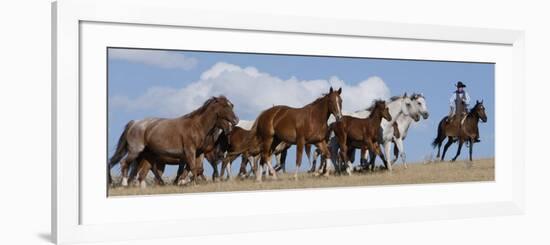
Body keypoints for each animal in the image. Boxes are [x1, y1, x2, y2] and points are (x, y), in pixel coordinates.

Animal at [108, 95, 239, 186]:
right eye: (225, 106)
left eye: (231, 105)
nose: (236, 120)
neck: (197, 126)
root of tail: (134, 123)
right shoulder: (190, 150)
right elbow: (192, 167)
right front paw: (193, 183)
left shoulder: (197, 153)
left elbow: (190, 169)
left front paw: (182, 182)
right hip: (136, 151)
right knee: (124, 163)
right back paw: (124, 183)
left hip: (146, 155)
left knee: (141, 171)